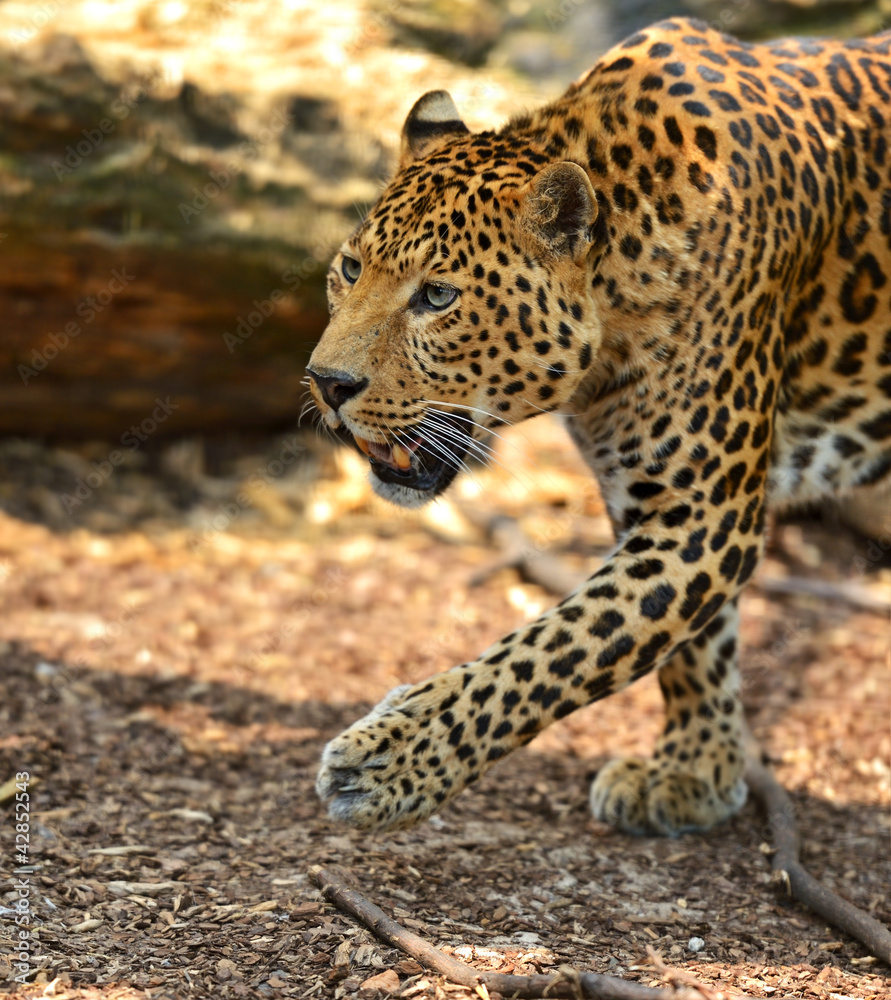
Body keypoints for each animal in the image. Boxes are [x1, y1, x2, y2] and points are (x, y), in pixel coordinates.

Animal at [308, 18, 891, 837]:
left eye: (438, 297)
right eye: (350, 268)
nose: (326, 383)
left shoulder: (704, 514)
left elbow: (558, 649)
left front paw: (394, 761)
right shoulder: (649, 498)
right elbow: (689, 645)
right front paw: (697, 770)